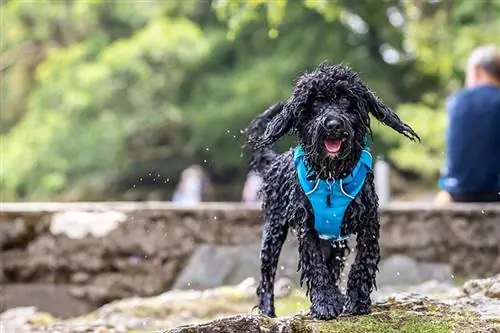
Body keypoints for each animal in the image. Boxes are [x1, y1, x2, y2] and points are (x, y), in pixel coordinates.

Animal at [244, 63, 420, 318]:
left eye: (346, 99)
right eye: (315, 103)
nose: (333, 124)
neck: (331, 178)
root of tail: (276, 161)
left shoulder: (368, 224)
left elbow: (362, 263)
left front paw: (356, 301)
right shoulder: (306, 228)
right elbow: (316, 267)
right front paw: (326, 303)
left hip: (333, 243)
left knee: (333, 268)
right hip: (273, 231)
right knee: (266, 275)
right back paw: (268, 312)